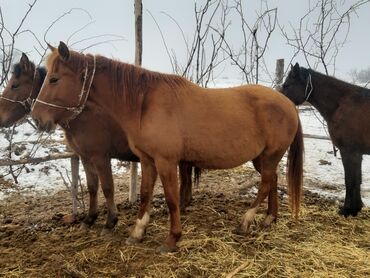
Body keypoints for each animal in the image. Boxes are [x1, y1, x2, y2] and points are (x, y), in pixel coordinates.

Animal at [0, 51, 197, 232]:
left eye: (15, 85)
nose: (1, 118)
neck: (83, 116)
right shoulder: (85, 157)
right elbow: (92, 186)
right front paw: (90, 218)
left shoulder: (101, 157)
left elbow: (108, 187)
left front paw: (111, 221)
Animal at [31, 41, 304, 252]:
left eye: (54, 79)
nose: (36, 118)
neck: (144, 104)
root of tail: (287, 103)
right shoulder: (147, 160)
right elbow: (144, 194)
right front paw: (137, 232)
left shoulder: (165, 161)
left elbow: (172, 199)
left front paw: (172, 239)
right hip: (262, 158)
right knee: (273, 180)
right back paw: (269, 218)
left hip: (269, 156)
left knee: (266, 183)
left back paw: (246, 221)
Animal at [282, 63, 368, 217]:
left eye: (287, 85)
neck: (342, 104)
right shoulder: (356, 154)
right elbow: (357, 180)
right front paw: (356, 208)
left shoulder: (350, 152)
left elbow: (350, 180)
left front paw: (348, 209)